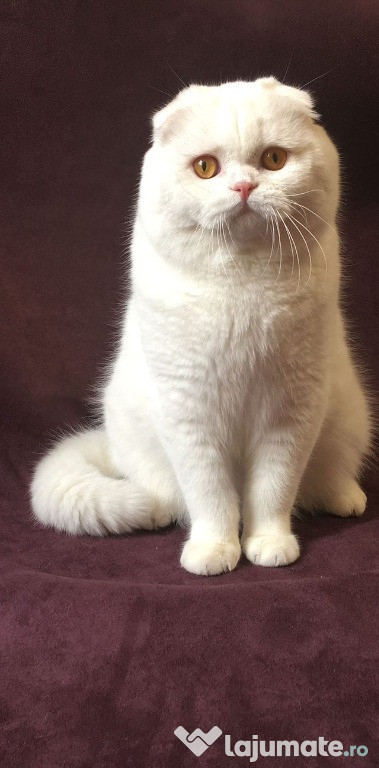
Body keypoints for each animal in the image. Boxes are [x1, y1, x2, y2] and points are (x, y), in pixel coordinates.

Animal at [31, 78, 372, 572]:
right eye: (205, 167)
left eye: (273, 159)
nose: (244, 185)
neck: (243, 285)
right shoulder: (190, 412)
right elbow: (211, 494)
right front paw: (214, 551)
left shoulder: (290, 411)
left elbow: (273, 490)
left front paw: (269, 545)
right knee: (168, 495)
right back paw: (157, 512)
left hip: (348, 418)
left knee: (328, 478)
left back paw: (348, 498)